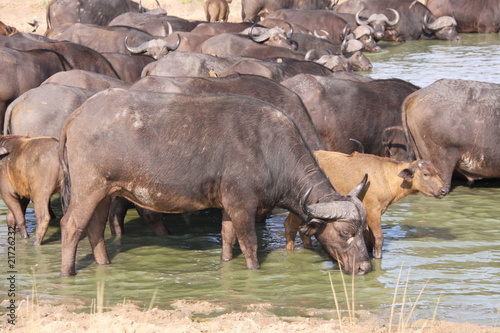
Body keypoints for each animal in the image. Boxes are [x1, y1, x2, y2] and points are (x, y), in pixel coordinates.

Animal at [59, 89, 372, 276]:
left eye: (363, 231)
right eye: (345, 233)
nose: (365, 267)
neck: (270, 150)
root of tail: (77, 115)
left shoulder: (228, 207)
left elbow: (227, 239)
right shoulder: (243, 206)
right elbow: (249, 244)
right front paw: (254, 270)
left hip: (105, 192)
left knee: (95, 228)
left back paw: (104, 264)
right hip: (88, 188)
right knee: (71, 225)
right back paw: (67, 271)